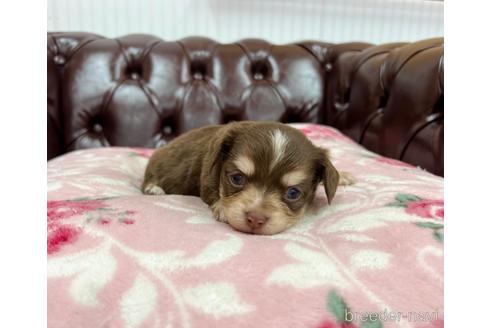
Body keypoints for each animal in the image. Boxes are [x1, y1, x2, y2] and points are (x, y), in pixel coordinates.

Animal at [140, 121, 352, 234]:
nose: (255, 220)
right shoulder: (207, 176)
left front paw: (344, 176)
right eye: (237, 179)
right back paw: (154, 189)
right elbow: (212, 193)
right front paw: (222, 208)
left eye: (293, 193)